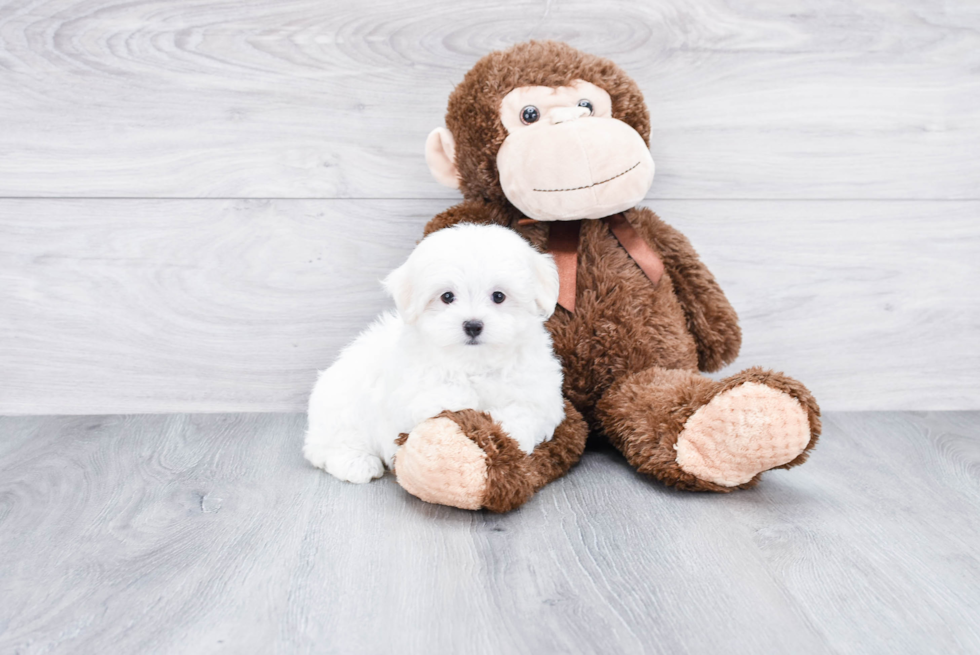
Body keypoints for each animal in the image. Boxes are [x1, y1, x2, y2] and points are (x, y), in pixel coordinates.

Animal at [306, 223, 568, 484]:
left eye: (499, 296)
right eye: (447, 297)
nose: (473, 325)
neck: (474, 363)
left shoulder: (538, 396)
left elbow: (521, 415)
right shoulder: (416, 393)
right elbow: (446, 402)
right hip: (342, 406)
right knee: (329, 446)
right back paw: (358, 463)